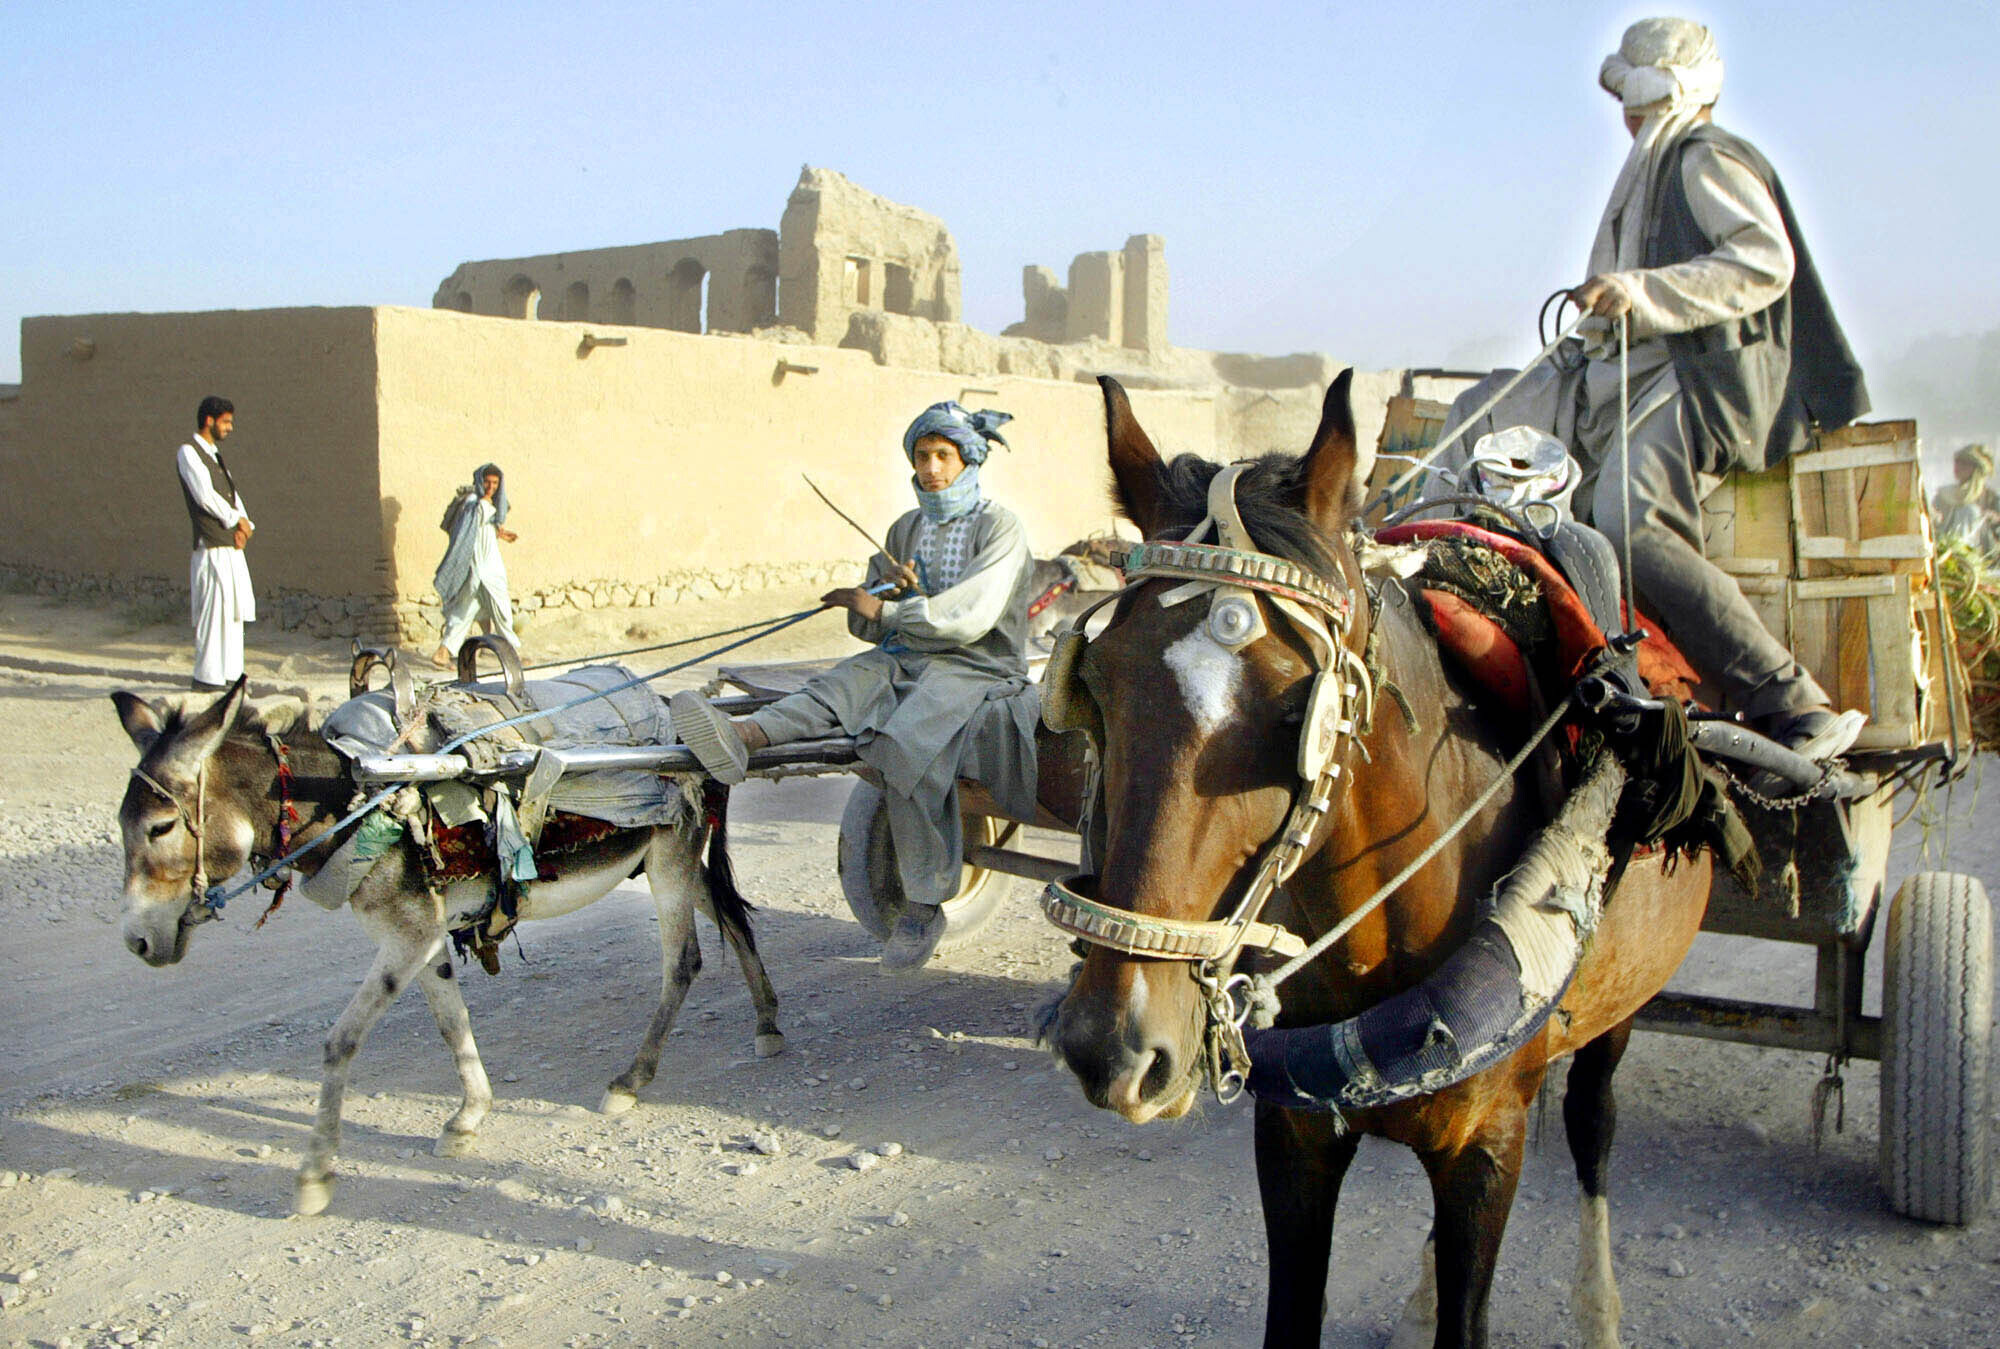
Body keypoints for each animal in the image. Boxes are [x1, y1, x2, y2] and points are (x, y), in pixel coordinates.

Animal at [1040, 372, 1712, 1336]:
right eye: (1094, 684)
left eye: (1299, 708)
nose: (1113, 1045)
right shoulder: (1292, 1142)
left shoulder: (1488, 1149)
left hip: (1617, 1011)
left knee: (1594, 1124)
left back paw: (1597, 1310)